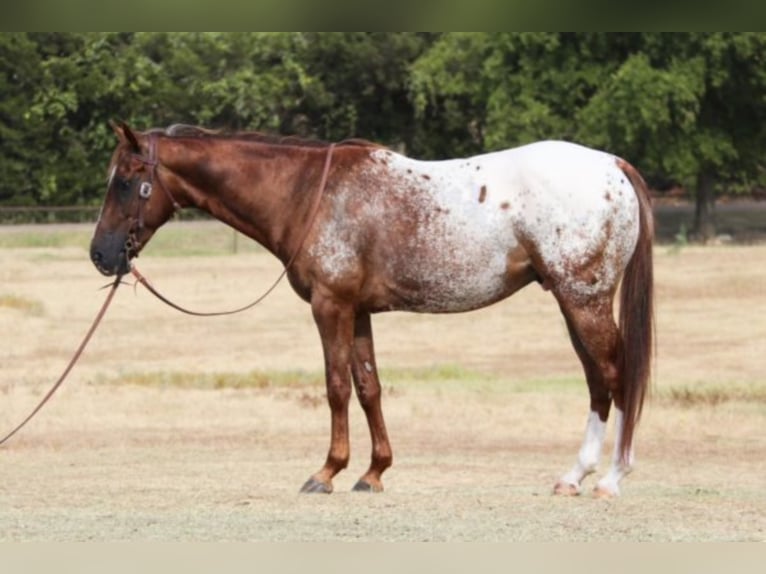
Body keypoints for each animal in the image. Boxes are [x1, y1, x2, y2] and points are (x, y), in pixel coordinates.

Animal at [90, 122, 656, 500]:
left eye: (126, 181)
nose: (100, 254)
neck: (307, 194)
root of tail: (612, 165)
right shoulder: (357, 311)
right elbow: (368, 387)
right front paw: (373, 472)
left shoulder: (330, 306)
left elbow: (336, 386)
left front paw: (326, 472)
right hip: (572, 303)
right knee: (597, 381)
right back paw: (574, 476)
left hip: (583, 301)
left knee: (615, 375)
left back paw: (611, 479)